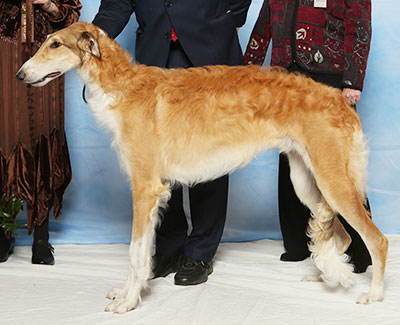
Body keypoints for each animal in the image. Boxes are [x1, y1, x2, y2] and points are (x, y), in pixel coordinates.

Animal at [18, 22, 388, 312]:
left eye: (55, 44)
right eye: (46, 41)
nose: (21, 75)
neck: (123, 87)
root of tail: (339, 99)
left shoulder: (145, 188)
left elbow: (135, 252)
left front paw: (128, 302)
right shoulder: (155, 191)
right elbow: (144, 252)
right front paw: (127, 293)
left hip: (332, 180)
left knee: (377, 239)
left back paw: (374, 295)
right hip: (306, 181)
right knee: (342, 235)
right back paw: (323, 276)